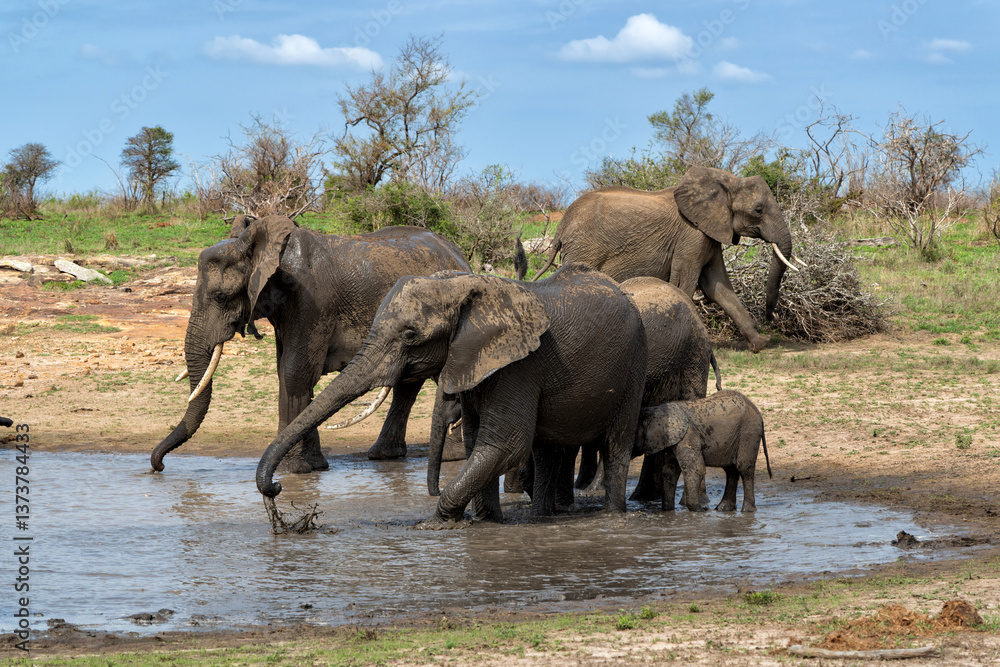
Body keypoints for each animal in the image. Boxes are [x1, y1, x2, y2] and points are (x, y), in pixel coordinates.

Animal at [150, 215, 470, 474]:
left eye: (220, 296)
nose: (159, 466)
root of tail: (460, 255)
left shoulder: (312, 301)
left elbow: (295, 373)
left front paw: (292, 470)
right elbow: (286, 372)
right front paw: (314, 466)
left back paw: (452, 456)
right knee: (408, 383)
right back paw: (385, 455)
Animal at [256, 263, 649, 523]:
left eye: (410, 335)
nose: (275, 490)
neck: (463, 287)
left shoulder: (520, 364)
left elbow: (505, 443)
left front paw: (439, 523)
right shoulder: (479, 360)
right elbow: (479, 441)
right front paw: (487, 523)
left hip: (634, 366)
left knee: (617, 444)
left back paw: (613, 517)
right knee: (549, 449)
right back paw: (541, 519)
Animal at [532, 166, 799, 352]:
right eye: (758, 210)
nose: (770, 319)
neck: (726, 182)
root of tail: (562, 225)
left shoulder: (708, 234)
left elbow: (718, 288)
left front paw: (760, 344)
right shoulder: (691, 236)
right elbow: (685, 284)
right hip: (584, 248)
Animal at [635, 389, 772, 512]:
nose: (704, 508)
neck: (657, 409)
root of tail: (759, 413)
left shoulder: (687, 437)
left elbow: (695, 469)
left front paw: (699, 510)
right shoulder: (673, 441)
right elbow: (669, 472)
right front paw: (668, 511)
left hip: (749, 432)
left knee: (744, 469)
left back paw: (747, 511)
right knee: (731, 470)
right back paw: (723, 509)